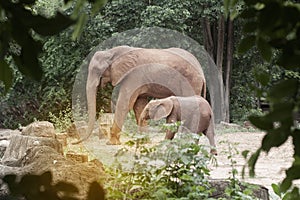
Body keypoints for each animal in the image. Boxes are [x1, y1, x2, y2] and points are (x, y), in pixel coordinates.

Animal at [72, 46, 206, 145]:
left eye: (96, 70)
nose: (75, 142)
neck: (112, 52)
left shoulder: (134, 75)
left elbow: (125, 102)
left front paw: (111, 143)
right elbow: (139, 105)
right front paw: (144, 142)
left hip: (191, 81)